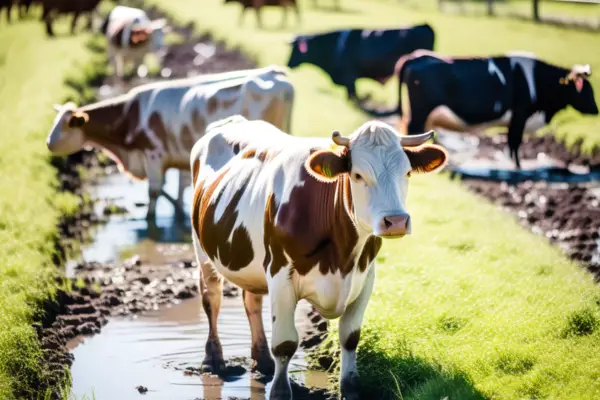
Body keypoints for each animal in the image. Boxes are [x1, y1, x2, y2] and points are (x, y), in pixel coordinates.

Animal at [47, 65, 296, 219]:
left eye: (66, 124)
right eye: (55, 120)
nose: (48, 143)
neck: (133, 114)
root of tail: (274, 73)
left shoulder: (153, 155)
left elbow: (154, 191)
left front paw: (149, 219)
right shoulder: (179, 158)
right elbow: (178, 190)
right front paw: (180, 213)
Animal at [390, 50, 596, 168]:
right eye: (586, 90)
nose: (596, 110)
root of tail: (414, 57)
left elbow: (511, 141)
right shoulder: (520, 115)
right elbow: (515, 141)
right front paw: (517, 166)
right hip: (419, 112)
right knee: (413, 131)